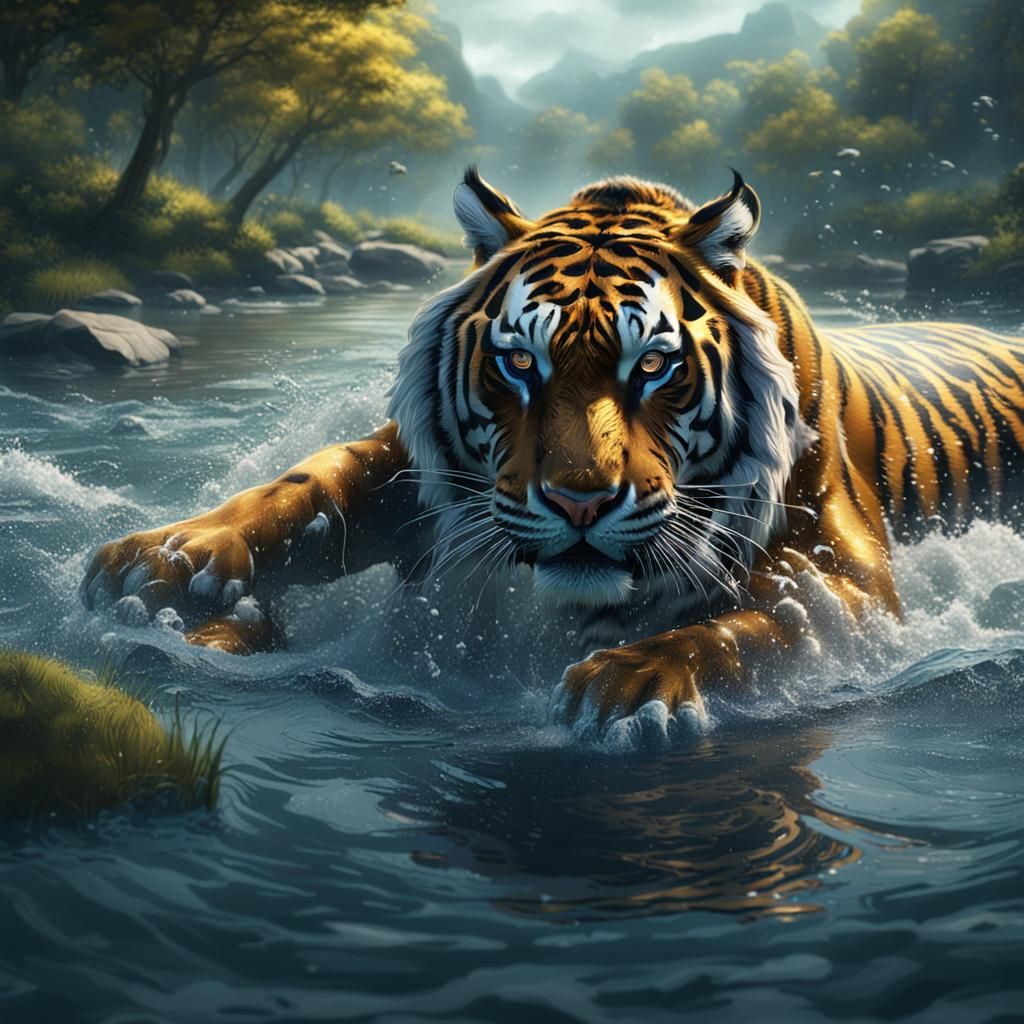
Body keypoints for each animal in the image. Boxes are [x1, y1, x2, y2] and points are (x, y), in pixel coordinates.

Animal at [82, 168, 1024, 732]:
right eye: (519, 362)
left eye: (653, 366)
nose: (579, 500)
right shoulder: (411, 469)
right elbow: (304, 485)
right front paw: (167, 558)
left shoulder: (849, 576)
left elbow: (759, 628)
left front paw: (633, 683)